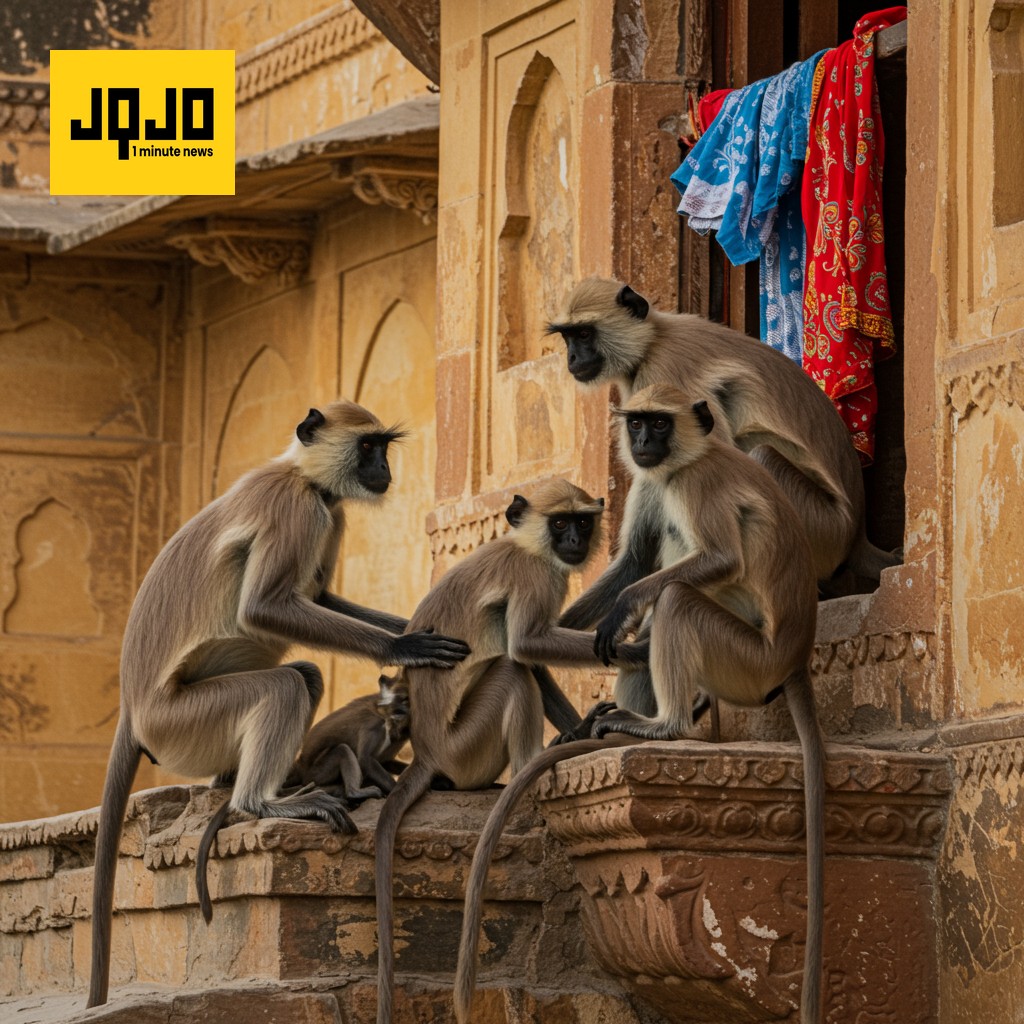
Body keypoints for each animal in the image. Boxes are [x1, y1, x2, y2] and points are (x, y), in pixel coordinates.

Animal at [87, 399, 472, 1009]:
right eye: (368, 447)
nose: (384, 470)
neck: (303, 476)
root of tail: (131, 710)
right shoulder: (301, 508)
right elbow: (265, 608)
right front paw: (407, 645)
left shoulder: (329, 512)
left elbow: (317, 597)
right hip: (179, 722)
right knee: (285, 686)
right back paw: (259, 802)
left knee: (305, 675)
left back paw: (237, 783)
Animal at [373, 479, 649, 1024]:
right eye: (560, 523)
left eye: (581, 522)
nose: (574, 542)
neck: (525, 545)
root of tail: (427, 753)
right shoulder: (535, 577)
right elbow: (526, 646)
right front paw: (635, 650)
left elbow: (534, 655)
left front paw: (580, 727)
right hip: (466, 748)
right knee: (509, 670)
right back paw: (530, 771)